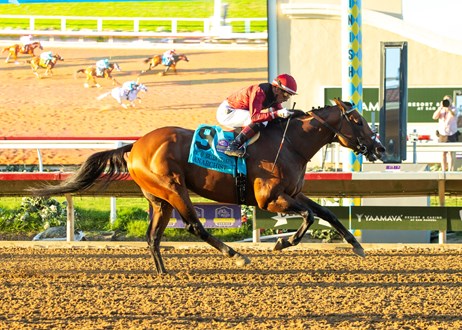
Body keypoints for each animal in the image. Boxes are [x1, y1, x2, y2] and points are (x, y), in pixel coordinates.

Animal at [27, 98, 384, 276]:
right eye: (358, 121)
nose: (379, 148)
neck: (289, 143)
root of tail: (136, 145)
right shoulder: (270, 199)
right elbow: (309, 218)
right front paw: (282, 243)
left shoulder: (293, 193)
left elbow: (327, 213)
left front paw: (357, 245)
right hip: (173, 189)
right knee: (194, 226)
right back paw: (235, 255)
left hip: (159, 200)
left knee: (152, 237)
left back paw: (164, 274)